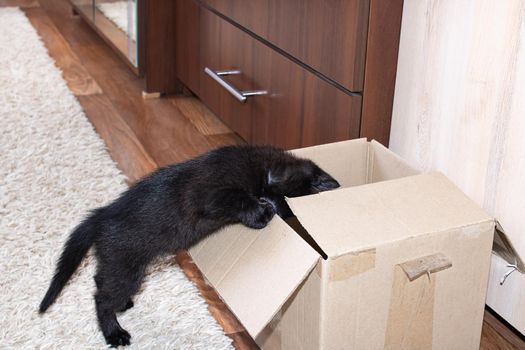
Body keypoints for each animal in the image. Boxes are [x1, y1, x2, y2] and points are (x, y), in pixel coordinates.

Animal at [39, 145, 338, 348]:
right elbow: (241, 199)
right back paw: (114, 333)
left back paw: (122, 305)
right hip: (126, 267)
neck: (265, 169)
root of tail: (102, 215)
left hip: (118, 263)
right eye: (290, 209)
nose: (280, 211)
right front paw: (262, 213)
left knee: (100, 281)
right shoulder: (215, 195)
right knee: (101, 298)